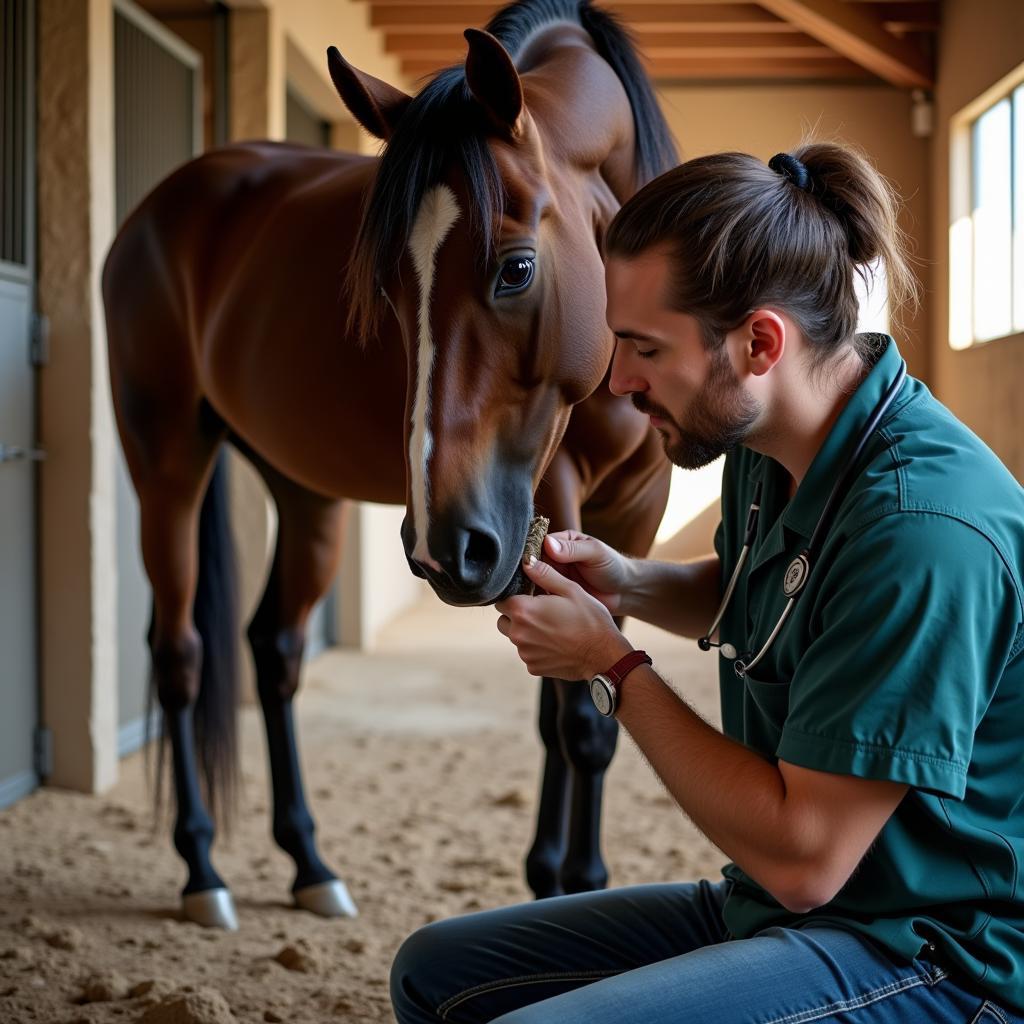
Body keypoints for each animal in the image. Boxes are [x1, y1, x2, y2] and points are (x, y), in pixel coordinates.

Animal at [101, 0, 679, 929]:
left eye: (516, 268)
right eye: (387, 289)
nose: (447, 548)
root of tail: (158, 208)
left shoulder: (633, 516)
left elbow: (570, 706)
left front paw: (548, 879)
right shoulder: (548, 495)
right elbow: (583, 722)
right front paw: (573, 889)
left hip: (305, 495)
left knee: (273, 647)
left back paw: (309, 863)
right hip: (166, 464)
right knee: (180, 651)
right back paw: (202, 873)